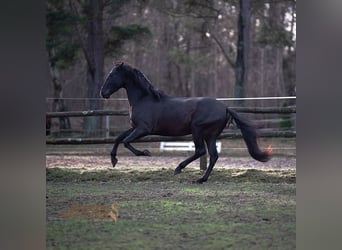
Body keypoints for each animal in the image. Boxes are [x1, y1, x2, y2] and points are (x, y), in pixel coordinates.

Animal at [100, 62, 272, 184]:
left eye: (111, 75)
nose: (103, 93)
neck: (144, 99)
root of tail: (225, 108)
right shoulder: (135, 127)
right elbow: (119, 138)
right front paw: (113, 160)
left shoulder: (144, 129)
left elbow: (126, 142)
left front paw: (145, 153)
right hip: (210, 135)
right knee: (213, 155)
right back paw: (201, 179)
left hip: (197, 130)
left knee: (201, 151)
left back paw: (179, 168)